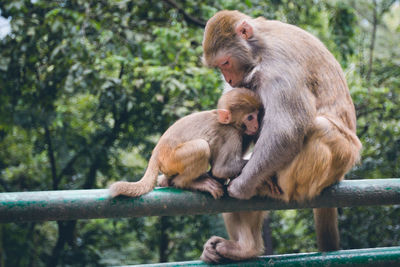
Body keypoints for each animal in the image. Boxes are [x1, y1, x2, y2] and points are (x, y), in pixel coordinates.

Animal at [111, 88, 262, 199]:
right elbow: (221, 169)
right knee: (201, 147)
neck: (229, 123)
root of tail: (157, 152)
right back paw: (188, 183)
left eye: (257, 114)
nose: (256, 125)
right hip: (171, 159)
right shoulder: (232, 135)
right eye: (250, 117)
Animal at [202, 11, 360, 264]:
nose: (227, 79)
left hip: (336, 163)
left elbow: (288, 127)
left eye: (225, 63)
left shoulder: (278, 63)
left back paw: (272, 187)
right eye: (218, 66)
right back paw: (244, 248)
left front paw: (241, 187)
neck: (258, 45)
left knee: (319, 128)